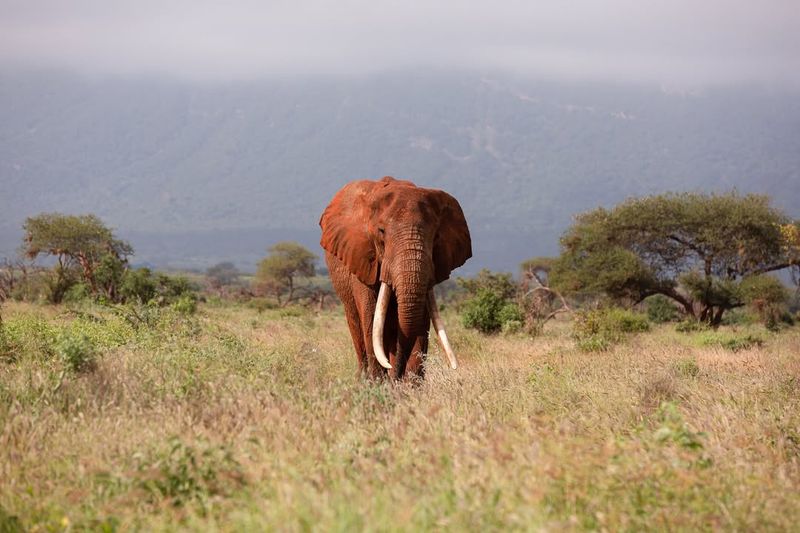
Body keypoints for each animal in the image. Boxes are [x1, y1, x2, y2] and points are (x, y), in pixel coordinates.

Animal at [318, 176, 472, 378]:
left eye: (436, 236)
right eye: (381, 231)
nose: (395, 374)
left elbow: (420, 323)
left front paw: (408, 385)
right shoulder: (363, 260)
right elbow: (371, 319)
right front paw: (379, 383)